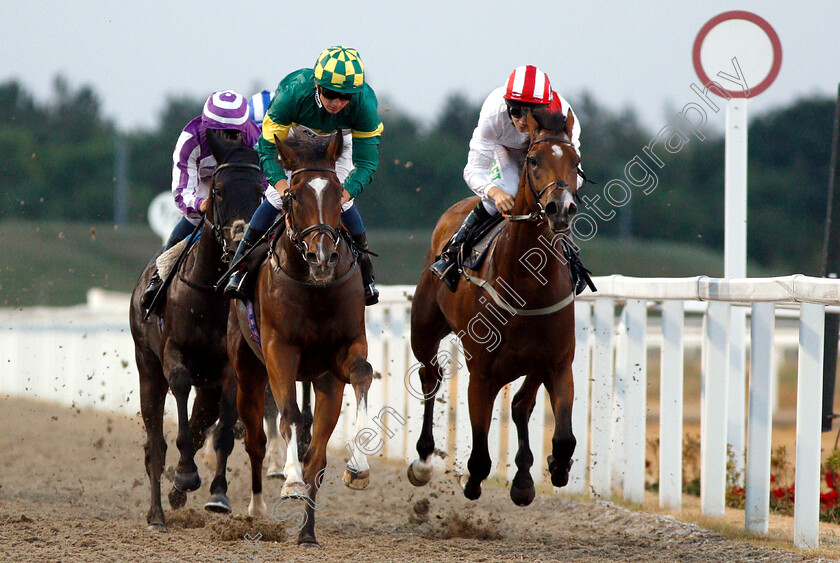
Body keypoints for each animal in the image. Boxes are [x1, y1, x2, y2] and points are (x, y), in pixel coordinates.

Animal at [128, 130, 262, 532]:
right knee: (154, 444)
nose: (239, 242)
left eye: (260, 189)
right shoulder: (174, 354)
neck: (209, 294)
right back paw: (157, 513)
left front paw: (218, 494)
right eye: (216, 190)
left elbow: (224, 431)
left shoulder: (229, 368)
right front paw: (186, 473)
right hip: (147, 369)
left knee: (203, 425)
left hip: (210, 385)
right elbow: (180, 390)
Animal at [230, 131, 374, 548]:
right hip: (248, 373)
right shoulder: (280, 350)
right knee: (255, 439)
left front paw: (358, 466)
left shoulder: (344, 351)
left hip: (323, 381)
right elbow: (289, 414)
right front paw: (290, 480)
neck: (314, 289)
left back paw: (307, 533)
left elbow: (363, 373)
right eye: (293, 195)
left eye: (340, 193)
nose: (322, 257)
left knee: (319, 455)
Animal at [408, 107, 580, 506]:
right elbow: (480, 456)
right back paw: (423, 460)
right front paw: (473, 481)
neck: (527, 286)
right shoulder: (482, 373)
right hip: (423, 328)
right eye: (533, 160)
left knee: (520, 405)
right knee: (430, 376)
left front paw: (551, 469)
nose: (561, 209)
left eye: (576, 162)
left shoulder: (558, 362)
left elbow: (562, 436)